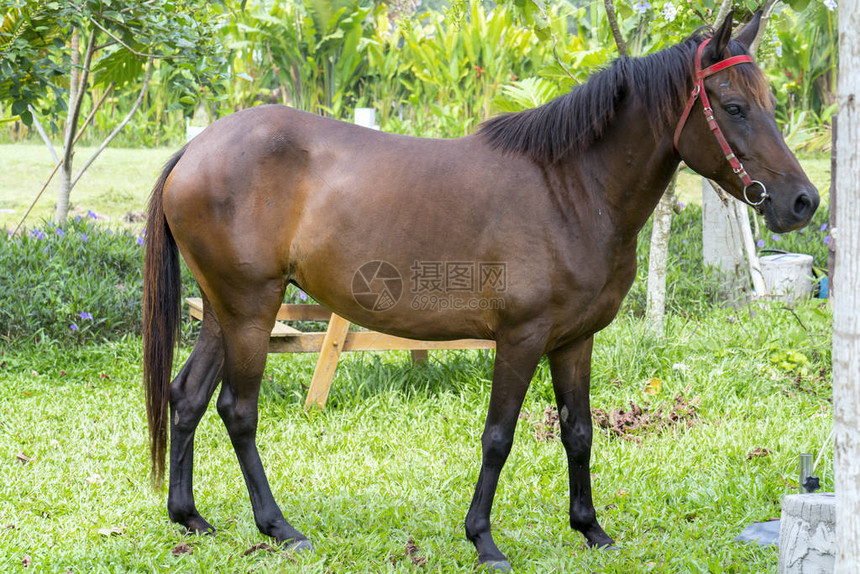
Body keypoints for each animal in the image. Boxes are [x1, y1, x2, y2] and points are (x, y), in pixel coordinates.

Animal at [143, 12, 820, 572]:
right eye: (733, 106)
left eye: (770, 101)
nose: (803, 202)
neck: (571, 190)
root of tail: (196, 147)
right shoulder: (520, 339)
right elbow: (499, 437)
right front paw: (484, 540)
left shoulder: (574, 341)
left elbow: (579, 431)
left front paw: (590, 529)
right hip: (251, 311)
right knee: (238, 410)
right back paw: (279, 527)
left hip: (226, 312)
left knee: (187, 397)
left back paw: (190, 517)